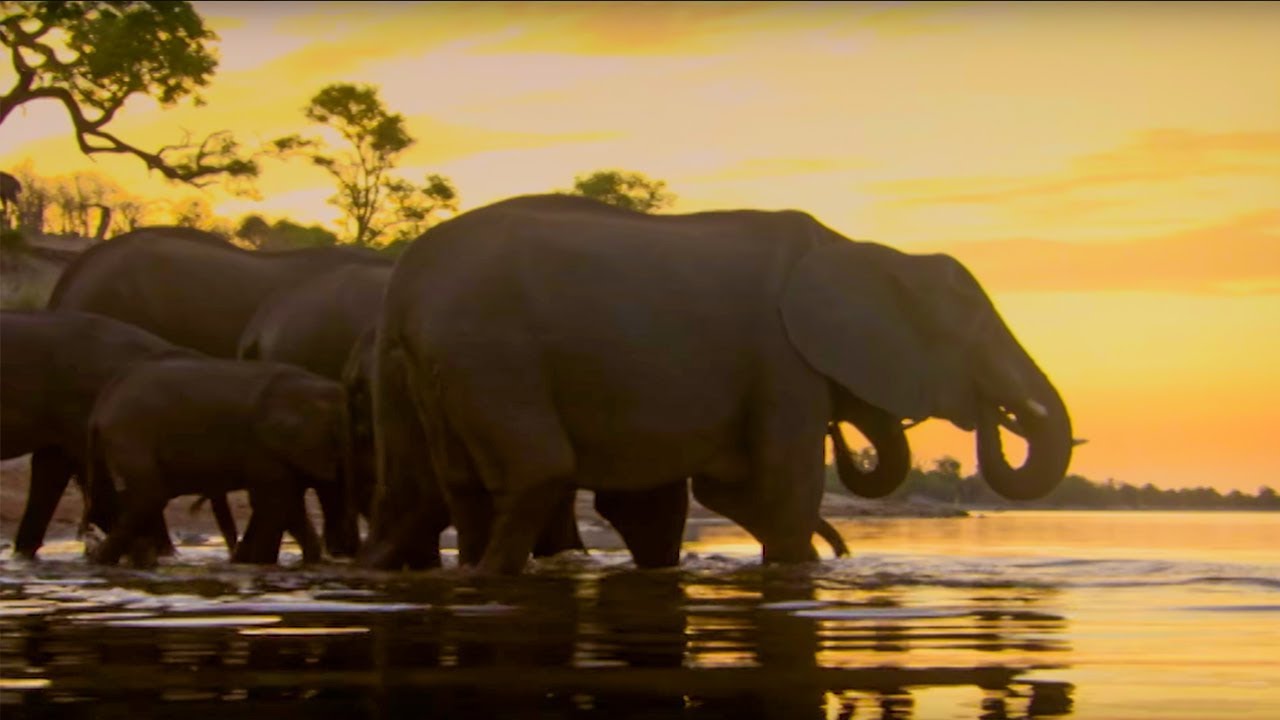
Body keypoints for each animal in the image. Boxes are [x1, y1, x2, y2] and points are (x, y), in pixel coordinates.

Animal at [83, 356, 358, 567]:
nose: (347, 552)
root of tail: (101, 404)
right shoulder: (263, 447)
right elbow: (276, 503)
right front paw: (264, 565)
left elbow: (286, 504)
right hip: (131, 434)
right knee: (149, 495)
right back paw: (102, 562)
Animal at [366, 194, 1074, 575]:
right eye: (976, 331)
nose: (1000, 416)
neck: (863, 248)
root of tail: (403, 289)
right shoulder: (781, 363)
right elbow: (779, 490)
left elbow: (697, 497)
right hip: (492, 355)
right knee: (538, 473)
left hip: (426, 371)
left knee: (440, 489)